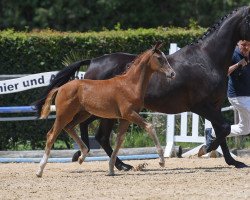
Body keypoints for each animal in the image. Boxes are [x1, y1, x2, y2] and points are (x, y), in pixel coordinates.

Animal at [36, 42, 176, 177]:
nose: (172, 73)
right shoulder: (130, 114)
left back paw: (82, 156)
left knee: (69, 127)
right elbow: (150, 127)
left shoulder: (125, 118)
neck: (130, 85)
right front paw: (161, 161)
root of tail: (60, 88)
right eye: (159, 58)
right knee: (51, 135)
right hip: (64, 114)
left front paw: (112, 168)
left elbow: (119, 140)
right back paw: (40, 170)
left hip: (83, 114)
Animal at [45, 6, 250, 170]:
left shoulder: (214, 105)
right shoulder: (201, 106)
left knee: (95, 132)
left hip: (104, 111)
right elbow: (224, 128)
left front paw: (234, 162)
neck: (206, 59)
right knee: (97, 133)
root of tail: (94, 61)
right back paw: (111, 162)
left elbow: (222, 131)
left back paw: (110, 161)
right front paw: (205, 149)